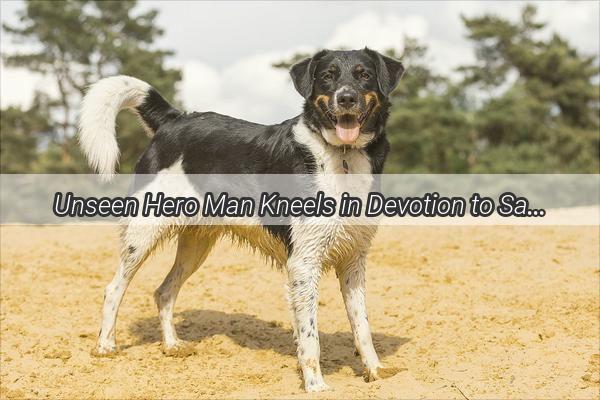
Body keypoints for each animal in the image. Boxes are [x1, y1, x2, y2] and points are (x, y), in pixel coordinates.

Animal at [76, 47, 404, 390]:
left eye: (364, 75)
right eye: (327, 76)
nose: (346, 98)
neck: (342, 155)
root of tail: (174, 121)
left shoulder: (354, 259)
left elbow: (362, 325)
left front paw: (375, 371)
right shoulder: (303, 263)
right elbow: (310, 337)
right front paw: (316, 386)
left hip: (196, 244)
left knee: (164, 291)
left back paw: (171, 345)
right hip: (144, 231)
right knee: (114, 288)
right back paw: (105, 346)